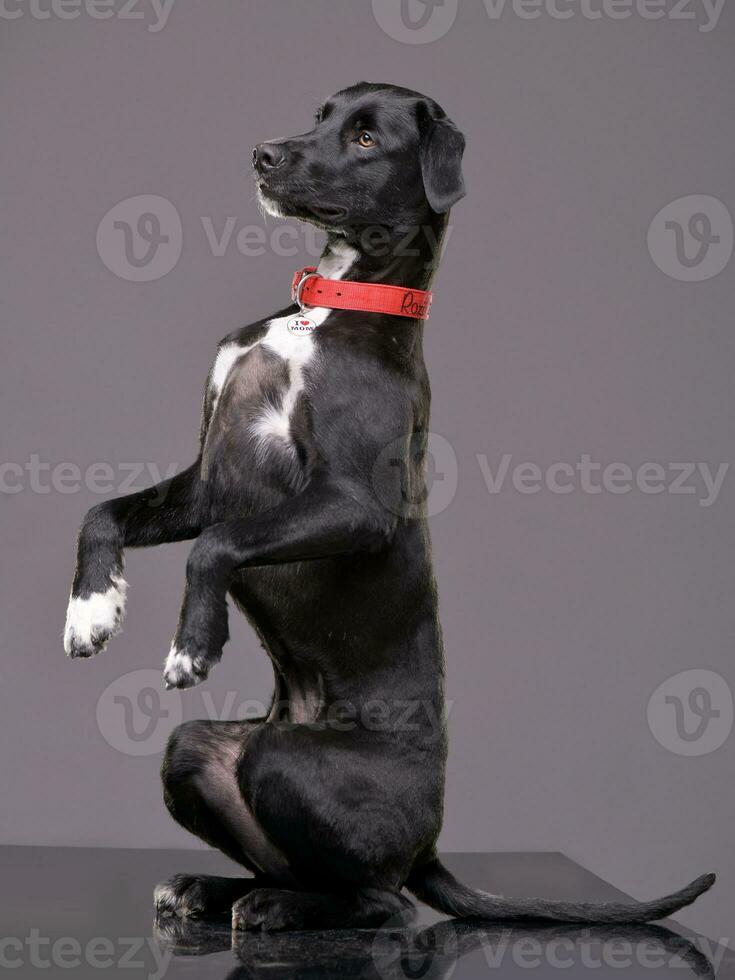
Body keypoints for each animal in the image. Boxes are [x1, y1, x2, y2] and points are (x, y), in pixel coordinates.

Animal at [66, 80, 716, 932]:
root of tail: (429, 845)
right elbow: (103, 514)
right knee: (310, 869)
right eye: (321, 116)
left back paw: (278, 908)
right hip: (199, 753)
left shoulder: (349, 506)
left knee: (383, 903)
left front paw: (193, 645)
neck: (328, 306)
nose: (263, 154)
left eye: (367, 139)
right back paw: (213, 891)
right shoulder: (205, 482)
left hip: (283, 761)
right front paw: (91, 611)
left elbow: (219, 545)